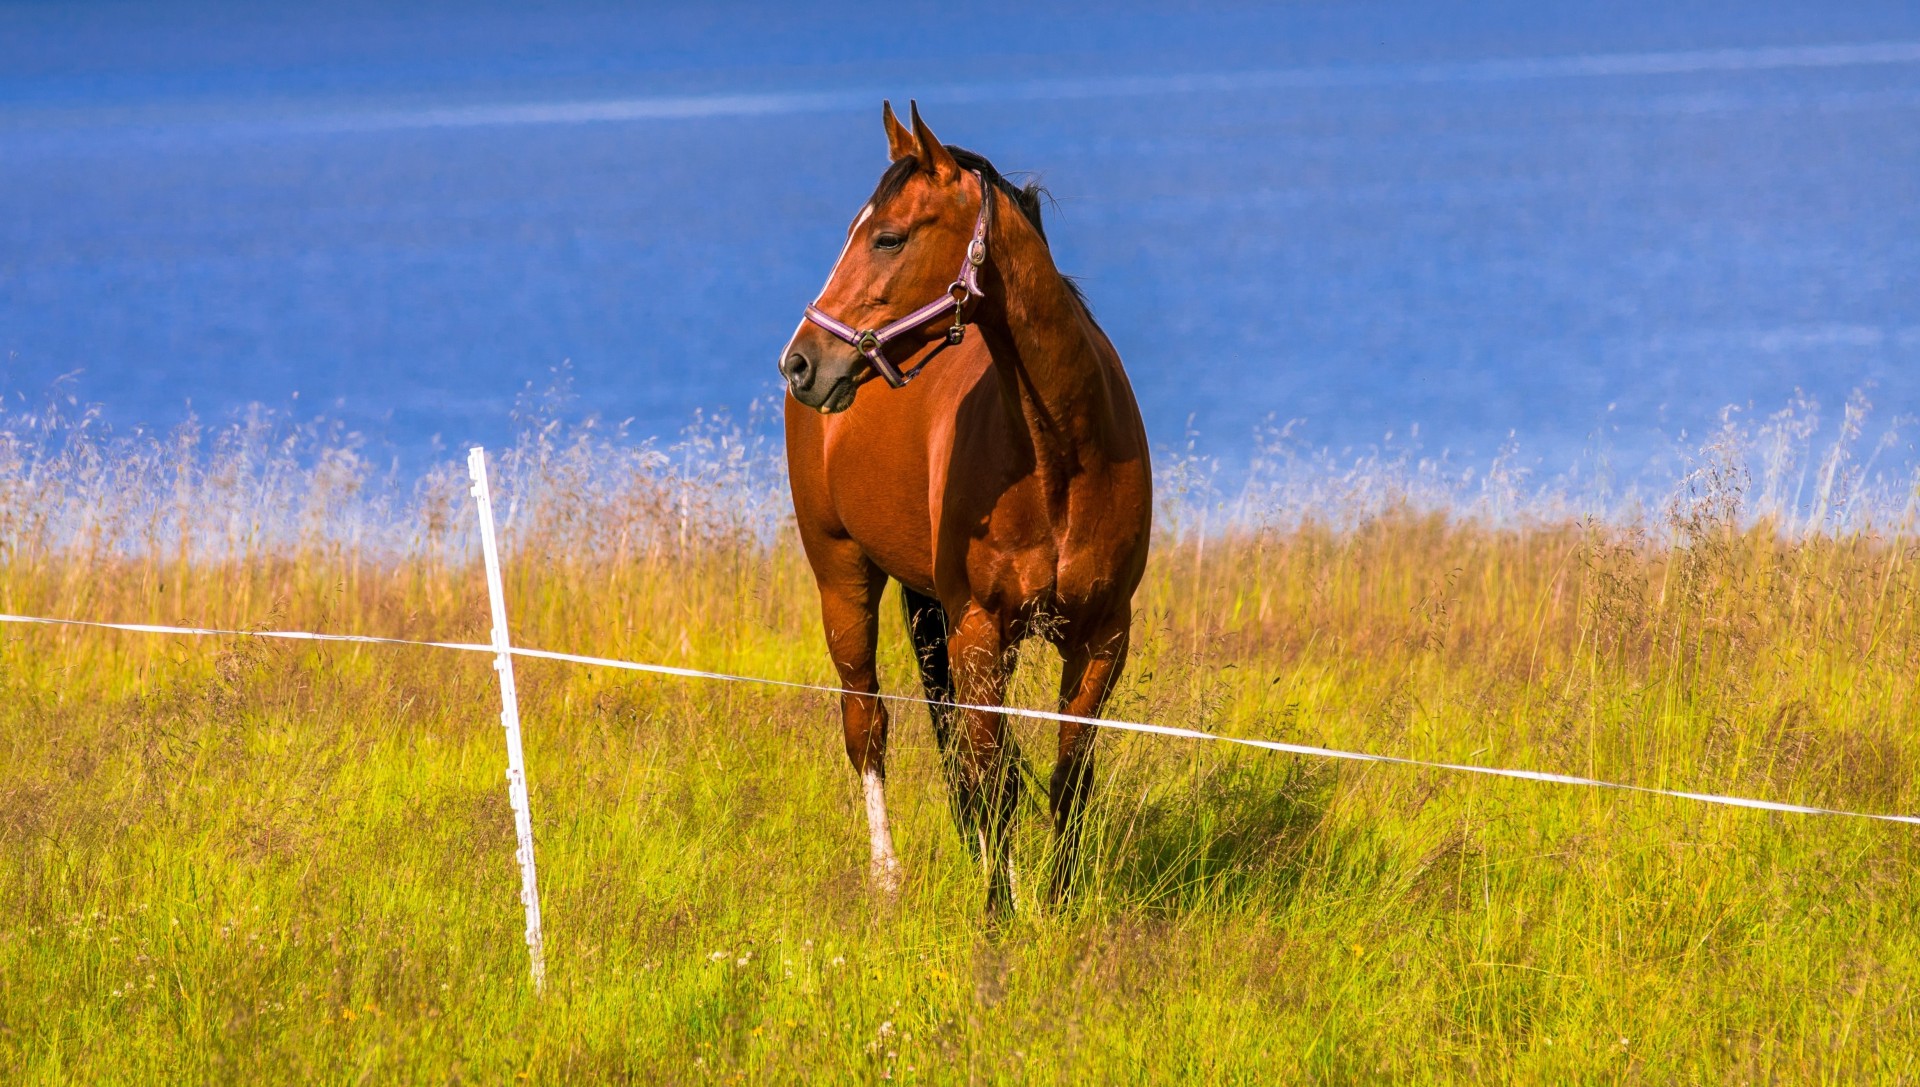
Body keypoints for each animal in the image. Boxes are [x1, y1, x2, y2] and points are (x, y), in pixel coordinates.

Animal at [779, 102, 1152, 914]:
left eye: (888, 236)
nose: (800, 362)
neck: (1060, 453)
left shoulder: (1101, 636)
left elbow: (1065, 776)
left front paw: (1057, 901)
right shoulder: (980, 628)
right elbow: (996, 779)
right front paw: (999, 913)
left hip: (930, 609)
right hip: (844, 579)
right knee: (870, 724)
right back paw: (889, 881)